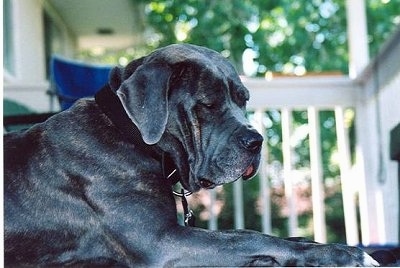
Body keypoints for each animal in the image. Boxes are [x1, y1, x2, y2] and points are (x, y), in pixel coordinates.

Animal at [3, 44, 378, 266]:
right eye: (208, 105)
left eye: (243, 100)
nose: (256, 141)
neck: (128, 132)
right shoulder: (162, 240)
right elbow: (248, 237)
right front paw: (342, 253)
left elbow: (241, 233)